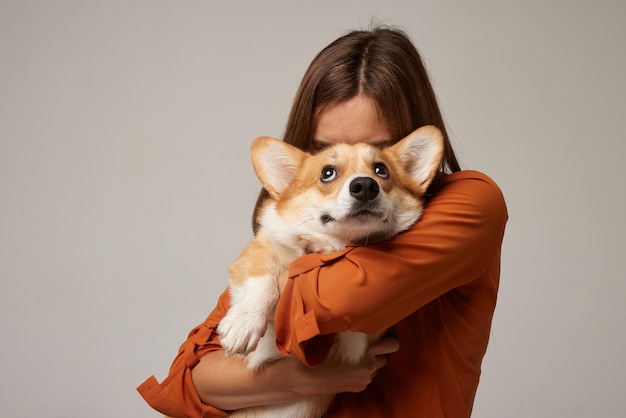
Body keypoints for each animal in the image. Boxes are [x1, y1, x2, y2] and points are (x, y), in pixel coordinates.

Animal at [217, 125, 442, 418]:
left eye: (381, 170)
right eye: (327, 173)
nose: (365, 186)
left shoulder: (356, 343)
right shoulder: (257, 253)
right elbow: (264, 280)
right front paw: (243, 324)